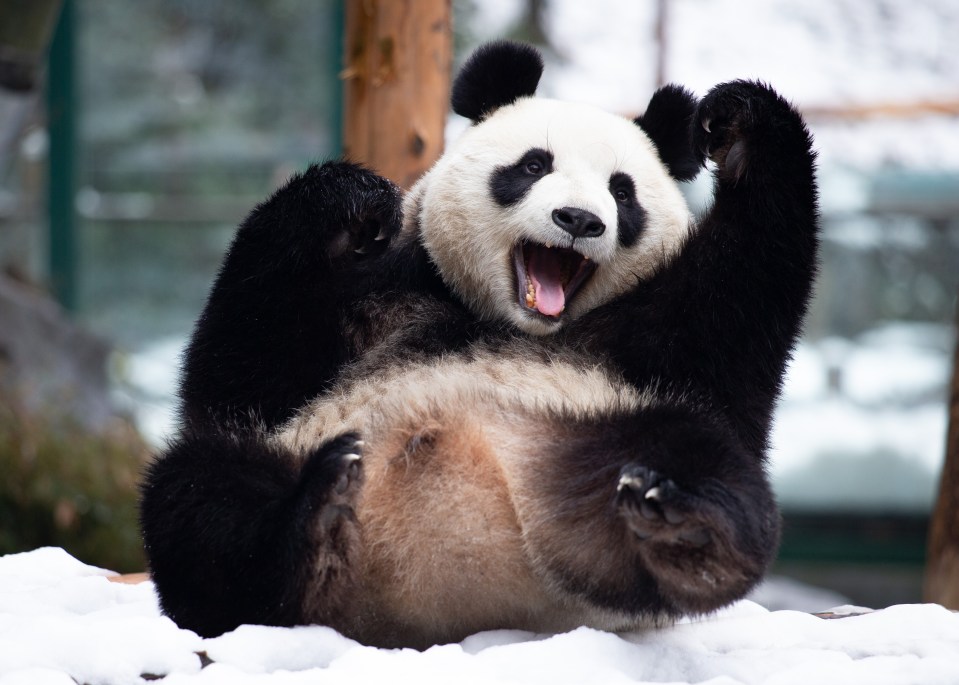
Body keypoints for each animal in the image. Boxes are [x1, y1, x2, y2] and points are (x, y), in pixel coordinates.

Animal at [139, 40, 820, 648]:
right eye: (533, 165)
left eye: (622, 191)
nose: (580, 220)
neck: (510, 320)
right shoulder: (383, 296)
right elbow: (243, 372)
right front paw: (351, 201)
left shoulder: (649, 341)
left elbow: (736, 329)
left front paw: (738, 121)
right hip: (284, 459)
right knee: (200, 499)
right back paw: (316, 522)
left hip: (590, 434)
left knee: (708, 463)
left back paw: (688, 532)